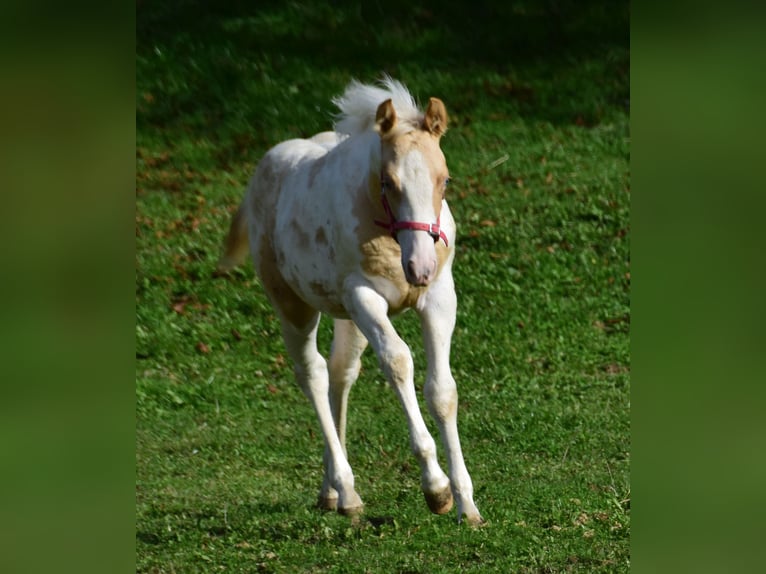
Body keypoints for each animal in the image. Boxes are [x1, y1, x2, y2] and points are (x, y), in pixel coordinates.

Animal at [217, 77, 484, 526]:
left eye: (445, 180)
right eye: (388, 182)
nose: (420, 267)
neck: (393, 242)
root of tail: (263, 171)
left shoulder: (439, 298)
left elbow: (442, 390)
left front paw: (467, 503)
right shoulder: (363, 296)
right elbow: (398, 362)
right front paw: (436, 489)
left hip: (344, 314)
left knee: (341, 372)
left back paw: (332, 493)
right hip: (294, 305)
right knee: (313, 374)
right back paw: (346, 489)